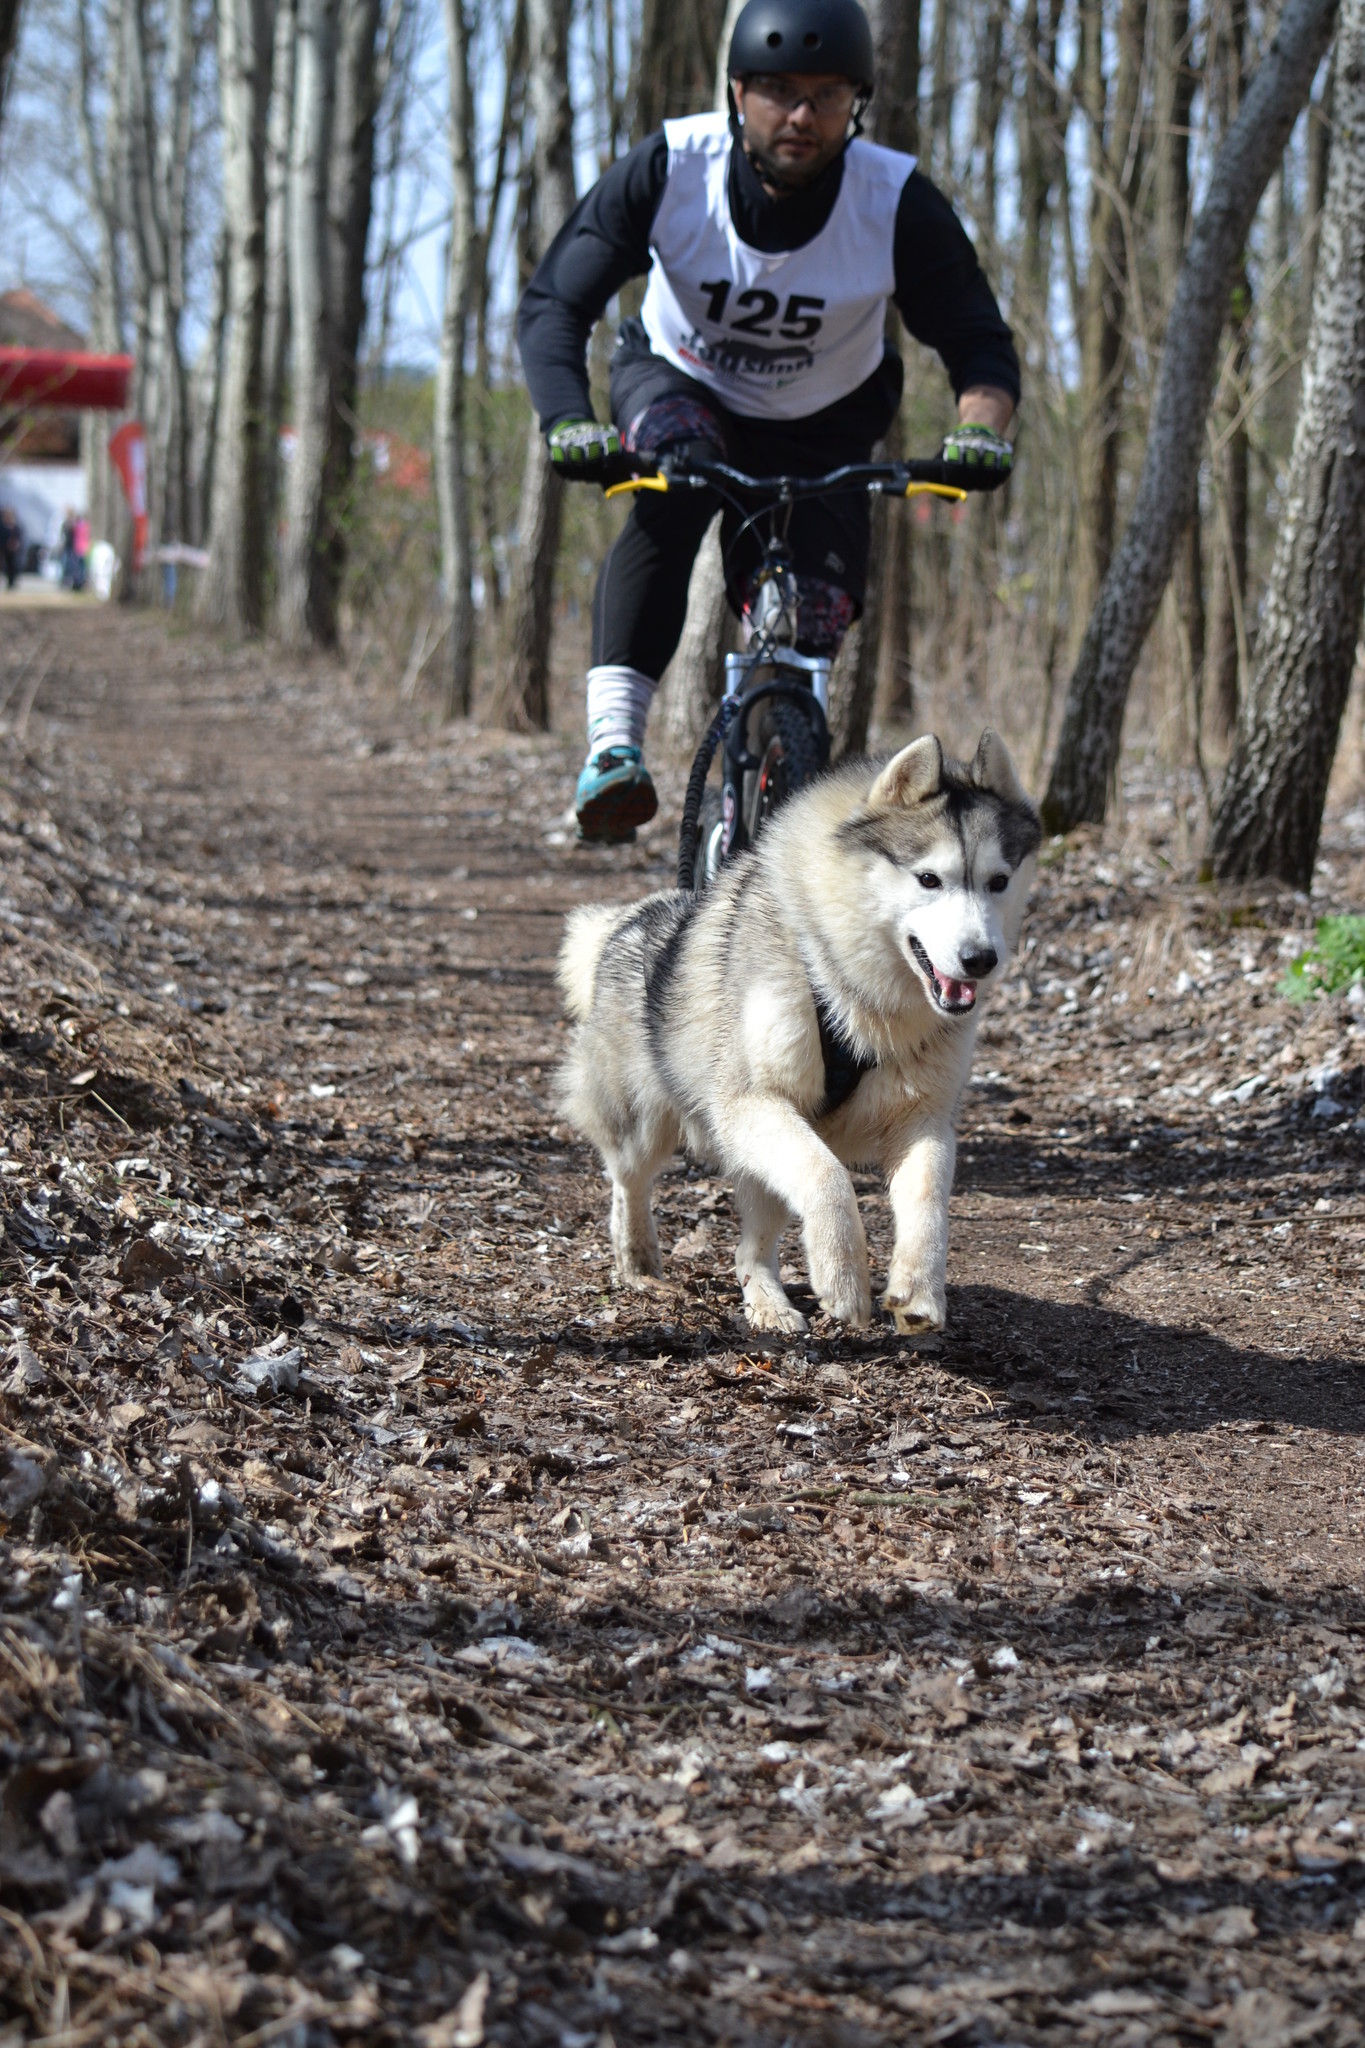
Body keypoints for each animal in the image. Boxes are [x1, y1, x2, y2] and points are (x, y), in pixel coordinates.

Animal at [556, 729, 1035, 1335]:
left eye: (999, 882)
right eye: (930, 879)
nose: (981, 960)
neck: (855, 995)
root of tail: (631, 918)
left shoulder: (922, 1121)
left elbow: (928, 1203)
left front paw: (919, 1290)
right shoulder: (752, 1102)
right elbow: (829, 1180)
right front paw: (844, 1277)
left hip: (761, 1163)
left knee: (750, 1247)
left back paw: (767, 1300)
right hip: (647, 1122)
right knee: (628, 1181)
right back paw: (637, 1262)